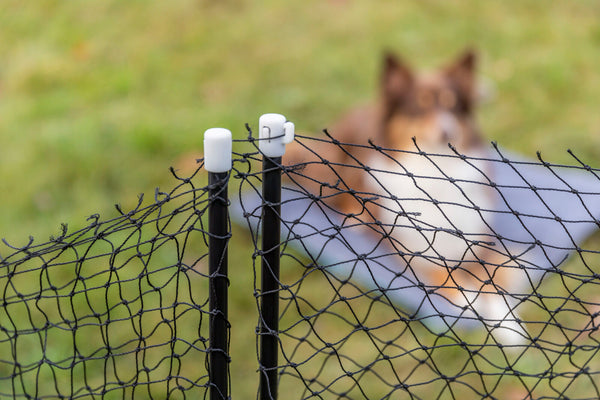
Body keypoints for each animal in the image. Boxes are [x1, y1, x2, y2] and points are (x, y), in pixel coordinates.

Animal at [286, 49, 524, 344]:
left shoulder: (478, 239)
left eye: (452, 105)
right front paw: (468, 300)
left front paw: (511, 330)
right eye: (419, 106)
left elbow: (492, 282)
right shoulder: (411, 246)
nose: (448, 131)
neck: (434, 171)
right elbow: (444, 273)